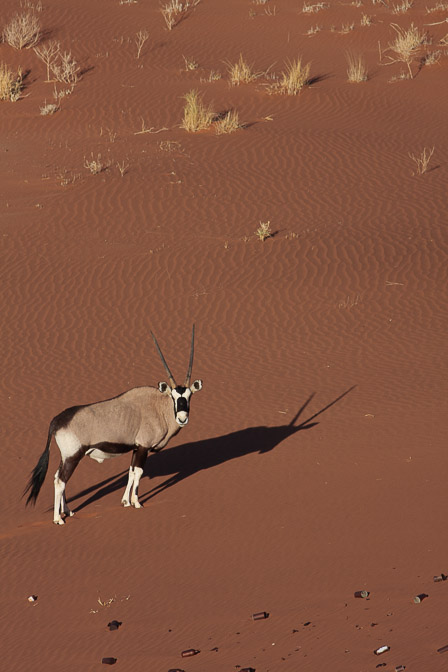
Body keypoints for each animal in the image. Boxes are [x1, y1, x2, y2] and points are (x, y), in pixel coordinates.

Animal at [22, 326, 201, 524]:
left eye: (189, 396)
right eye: (174, 397)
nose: (182, 418)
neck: (157, 406)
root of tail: (57, 421)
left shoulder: (136, 447)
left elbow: (131, 472)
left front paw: (125, 501)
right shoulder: (144, 447)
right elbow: (138, 472)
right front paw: (136, 503)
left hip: (66, 457)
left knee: (57, 477)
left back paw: (67, 511)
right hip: (73, 456)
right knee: (60, 480)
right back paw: (58, 519)